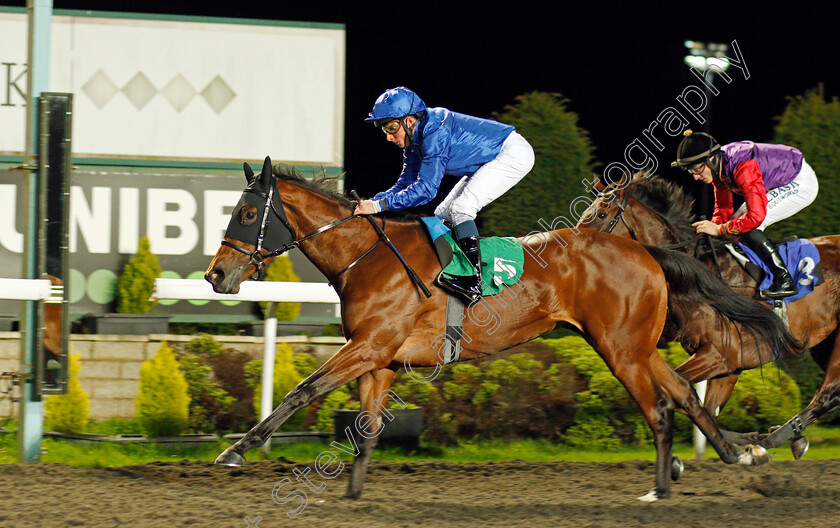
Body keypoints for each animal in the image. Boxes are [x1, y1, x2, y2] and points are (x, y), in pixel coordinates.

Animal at [205, 157, 796, 500]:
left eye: (246, 213)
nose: (216, 275)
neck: (368, 256)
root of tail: (645, 249)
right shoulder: (381, 357)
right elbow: (367, 427)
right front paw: (352, 493)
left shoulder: (367, 346)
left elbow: (303, 391)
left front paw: (236, 451)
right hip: (632, 344)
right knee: (684, 394)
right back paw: (738, 452)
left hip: (621, 350)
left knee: (660, 409)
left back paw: (660, 489)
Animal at [576, 172, 840, 454]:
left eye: (601, 213)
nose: (575, 243)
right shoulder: (729, 366)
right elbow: (708, 411)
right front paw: (739, 440)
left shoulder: (720, 355)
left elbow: (680, 389)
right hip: (823, 344)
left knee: (827, 393)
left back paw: (777, 437)